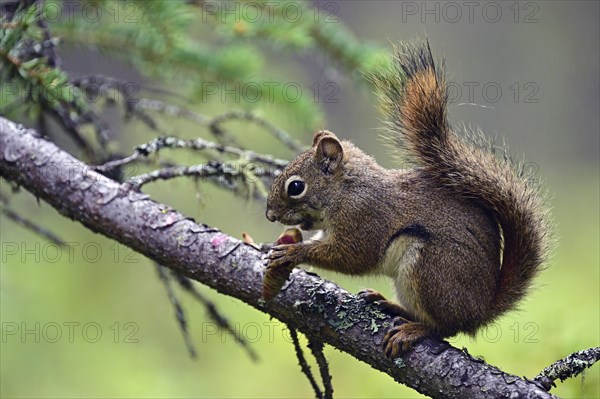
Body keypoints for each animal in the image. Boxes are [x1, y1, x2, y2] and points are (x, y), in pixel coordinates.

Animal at [264, 41, 552, 360]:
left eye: (296, 187)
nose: (269, 214)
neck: (345, 191)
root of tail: (480, 311)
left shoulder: (364, 218)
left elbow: (352, 256)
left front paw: (293, 252)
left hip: (429, 269)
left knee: (446, 327)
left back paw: (414, 329)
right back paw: (389, 304)